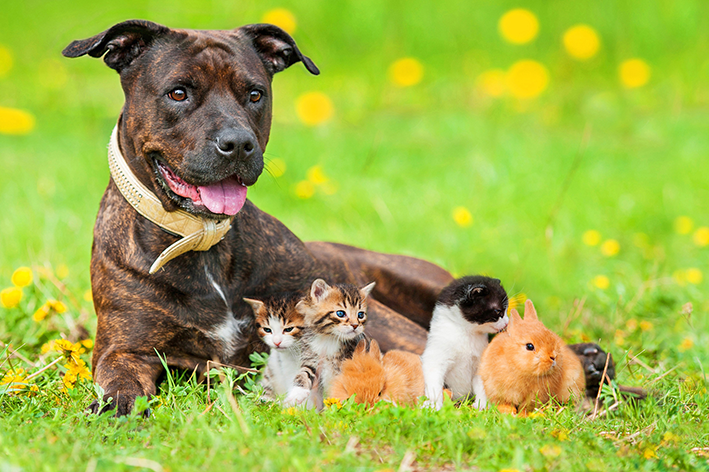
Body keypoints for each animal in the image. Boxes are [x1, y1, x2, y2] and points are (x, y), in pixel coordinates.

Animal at [282, 278, 376, 408]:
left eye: (360, 315)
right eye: (341, 313)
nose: (355, 325)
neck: (329, 339)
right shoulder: (311, 358)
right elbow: (303, 374)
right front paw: (295, 395)